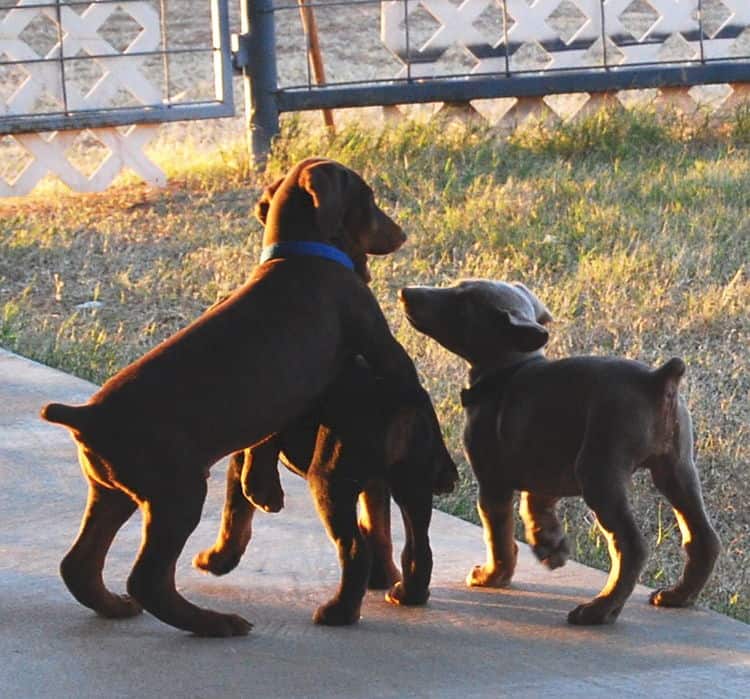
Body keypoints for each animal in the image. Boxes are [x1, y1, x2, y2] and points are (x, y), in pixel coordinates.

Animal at [41, 157, 440, 636]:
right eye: (370, 199)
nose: (401, 234)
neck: (299, 252)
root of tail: (86, 417)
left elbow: (259, 450)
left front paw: (259, 486)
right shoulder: (378, 340)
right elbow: (406, 376)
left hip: (112, 491)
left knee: (79, 565)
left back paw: (116, 607)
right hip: (176, 493)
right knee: (148, 578)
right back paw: (215, 623)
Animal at [400, 282, 724, 628]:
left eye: (462, 298)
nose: (407, 292)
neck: (509, 370)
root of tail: (657, 379)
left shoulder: (493, 482)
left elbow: (498, 535)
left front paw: (493, 575)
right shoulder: (546, 472)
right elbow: (533, 509)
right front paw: (549, 546)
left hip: (599, 472)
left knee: (631, 547)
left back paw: (600, 608)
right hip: (677, 468)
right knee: (703, 539)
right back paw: (679, 595)